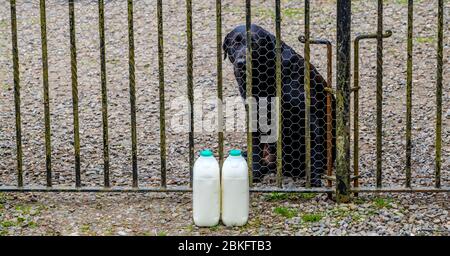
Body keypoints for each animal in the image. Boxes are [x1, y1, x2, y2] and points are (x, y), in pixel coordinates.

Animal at [223, 24, 336, 186]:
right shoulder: (254, 115)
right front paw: (254, 174)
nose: (241, 63)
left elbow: (315, 150)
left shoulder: (311, 116)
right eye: (235, 43)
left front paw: (314, 180)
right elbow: (255, 149)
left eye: (255, 44)